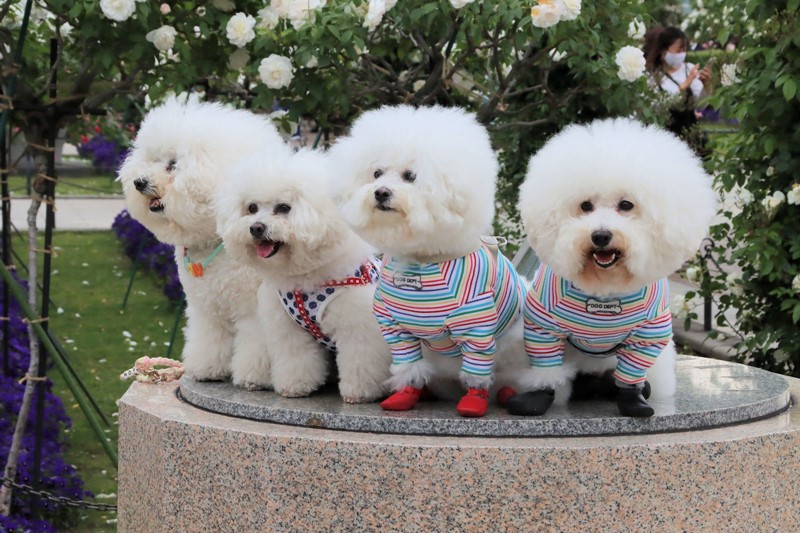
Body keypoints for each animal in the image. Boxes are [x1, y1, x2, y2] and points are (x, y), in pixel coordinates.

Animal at [118, 98, 289, 387]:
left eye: (173, 164)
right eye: (151, 160)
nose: (139, 182)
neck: (215, 241)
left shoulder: (254, 311)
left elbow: (256, 344)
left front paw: (253, 378)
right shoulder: (208, 308)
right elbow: (210, 339)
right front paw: (207, 369)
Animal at [215, 149, 392, 402]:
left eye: (284, 207)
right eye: (251, 208)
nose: (256, 227)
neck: (303, 275)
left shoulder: (358, 327)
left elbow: (360, 359)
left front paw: (359, 392)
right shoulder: (288, 328)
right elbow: (295, 357)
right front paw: (295, 386)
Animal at [328, 104, 530, 417]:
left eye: (411, 176)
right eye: (376, 173)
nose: (380, 192)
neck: (421, 259)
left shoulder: (476, 325)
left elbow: (477, 368)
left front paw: (474, 401)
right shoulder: (395, 326)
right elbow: (408, 365)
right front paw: (405, 395)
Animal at [511, 118, 717, 417]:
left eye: (626, 205)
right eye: (585, 205)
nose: (600, 236)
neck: (605, 289)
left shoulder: (649, 333)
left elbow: (632, 372)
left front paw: (633, 400)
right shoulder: (543, 324)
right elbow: (546, 366)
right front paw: (539, 396)